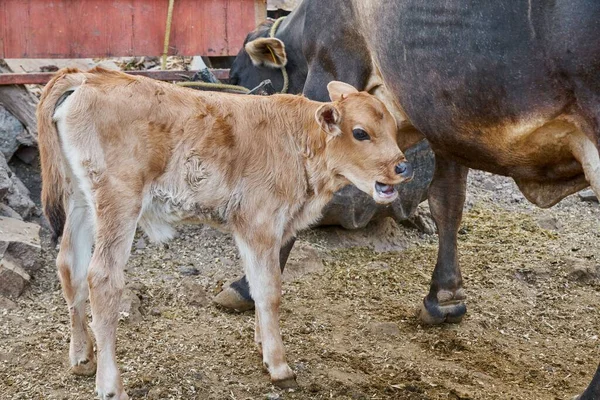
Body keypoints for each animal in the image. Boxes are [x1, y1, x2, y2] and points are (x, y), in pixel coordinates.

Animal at [37, 67, 412, 398]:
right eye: (360, 132)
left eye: (394, 128)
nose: (403, 166)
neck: (298, 142)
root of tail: (89, 76)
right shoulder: (260, 222)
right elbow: (270, 290)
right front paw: (279, 366)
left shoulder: (259, 228)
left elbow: (259, 284)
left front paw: (263, 344)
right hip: (118, 201)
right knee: (101, 278)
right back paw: (111, 385)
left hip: (80, 198)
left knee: (69, 265)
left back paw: (82, 358)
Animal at [225, 0, 600, 396]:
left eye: (236, 74)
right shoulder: (444, 119)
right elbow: (447, 203)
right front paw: (446, 298)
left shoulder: (334, 63)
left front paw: (246, 288)